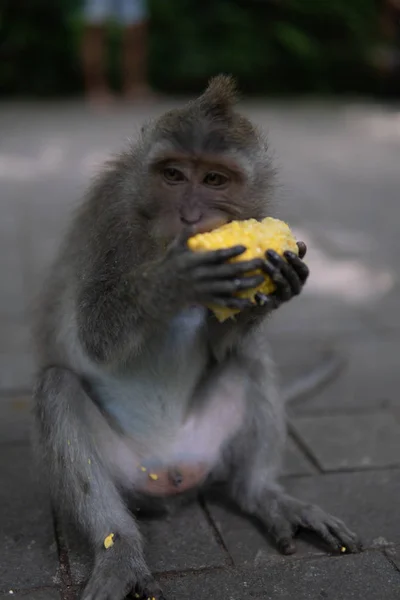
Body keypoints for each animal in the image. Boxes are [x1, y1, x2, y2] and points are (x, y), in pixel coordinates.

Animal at [32, 75, 362, 600]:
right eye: (173, 175)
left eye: (214, 180)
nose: (188, 216)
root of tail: (172, 470)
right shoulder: (111, 216)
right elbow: (94, 335)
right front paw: (173, 279)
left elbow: (225, 344)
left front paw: (275, 288)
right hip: (128, 471)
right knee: (57, 388)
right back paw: (119, 549)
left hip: (207, 447)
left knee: (250, 358)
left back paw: (263, 495)